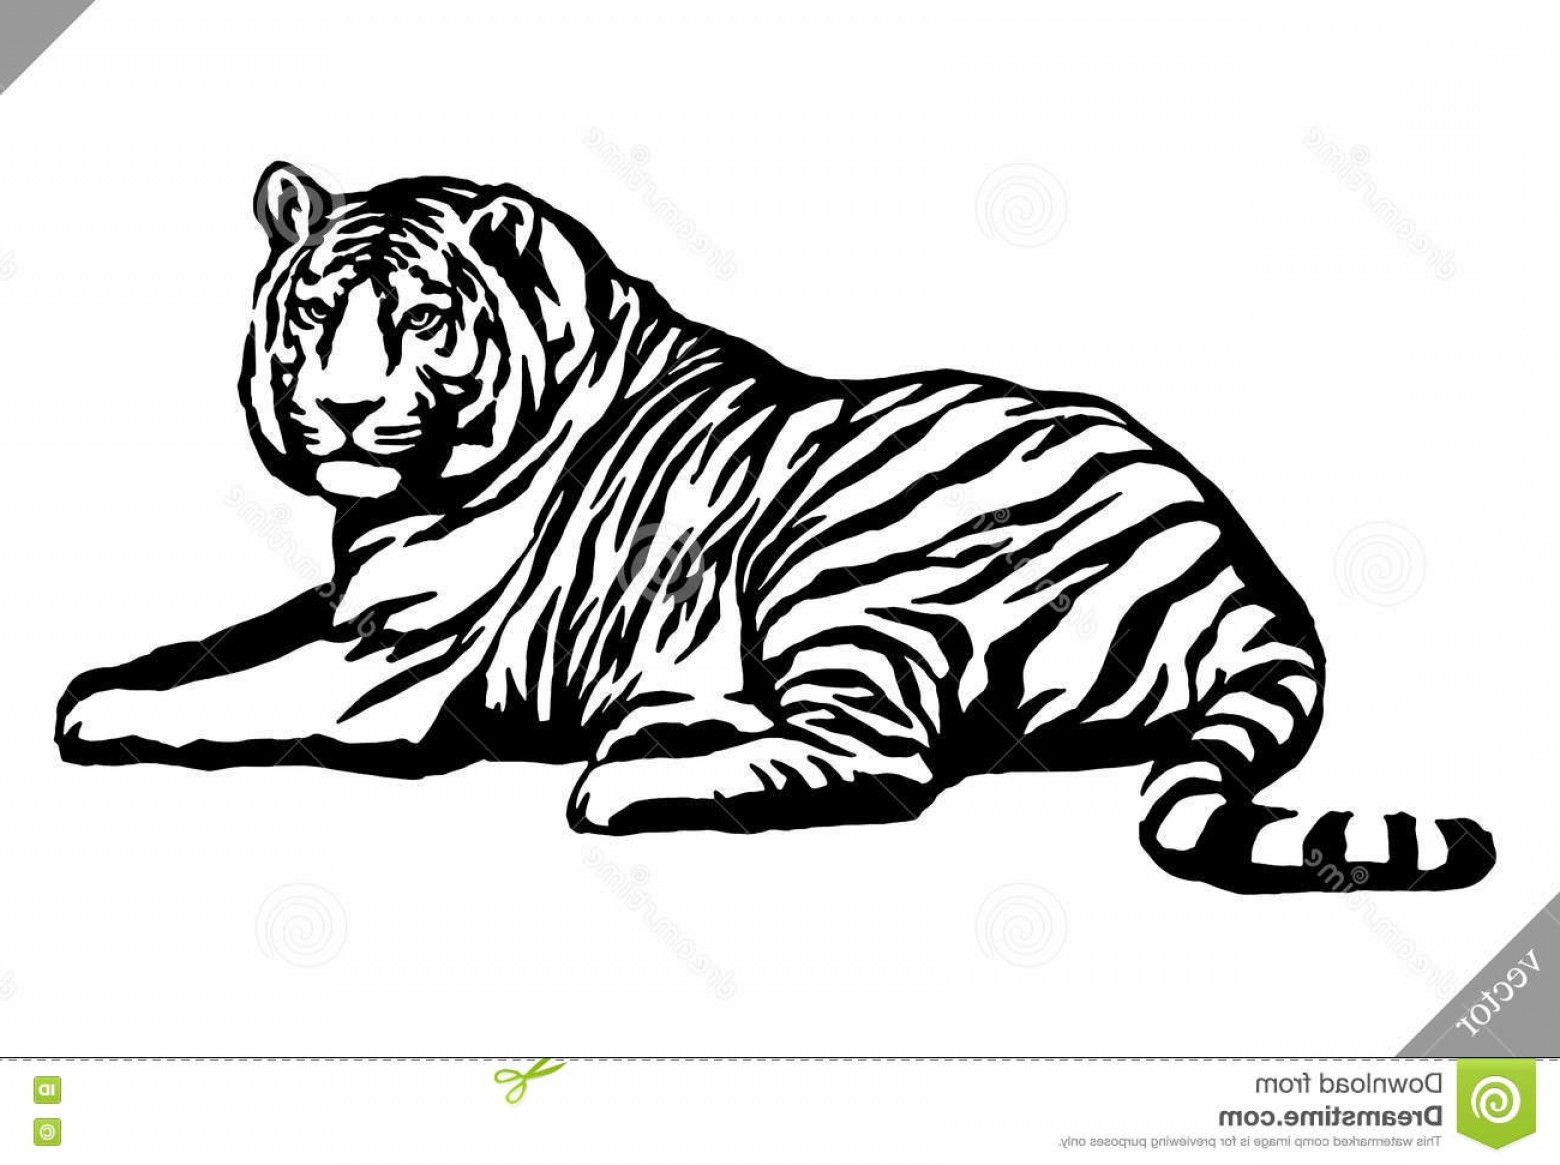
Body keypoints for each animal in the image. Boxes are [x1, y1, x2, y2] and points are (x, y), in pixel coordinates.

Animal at [56, 162, 1495, 894]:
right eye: (314, 314)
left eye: (419, 320)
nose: (346, 412)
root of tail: (1233, 559)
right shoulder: (353, 604)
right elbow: (223, 642)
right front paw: (108, 673)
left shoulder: (392, 667)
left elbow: (237, 695)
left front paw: (98, 714)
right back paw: (660, 729)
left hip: (839, 569)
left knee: (884, 764)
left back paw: (626, 779)